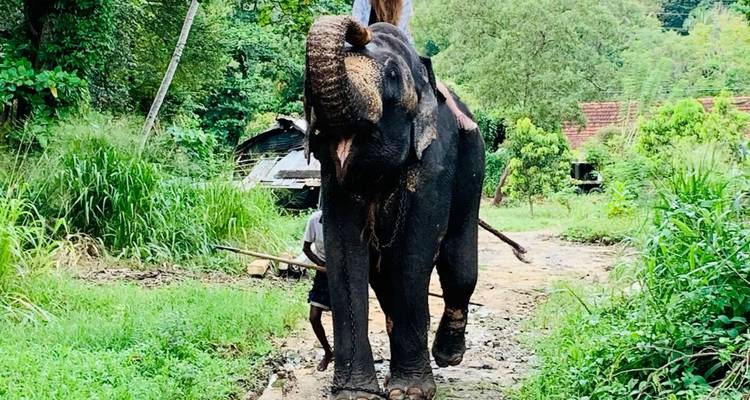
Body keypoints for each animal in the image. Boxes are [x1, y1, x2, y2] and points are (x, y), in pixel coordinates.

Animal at [304, 16, 485, 400]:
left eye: (390, 74)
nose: (359, 29)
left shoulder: (436, 159)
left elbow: (412, 255)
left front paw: (411, 392)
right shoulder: (333, 178)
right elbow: (344, 251)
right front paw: (354, 393)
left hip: (474, 165)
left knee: (458, 263)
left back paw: (447, 356)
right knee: (383, 275)